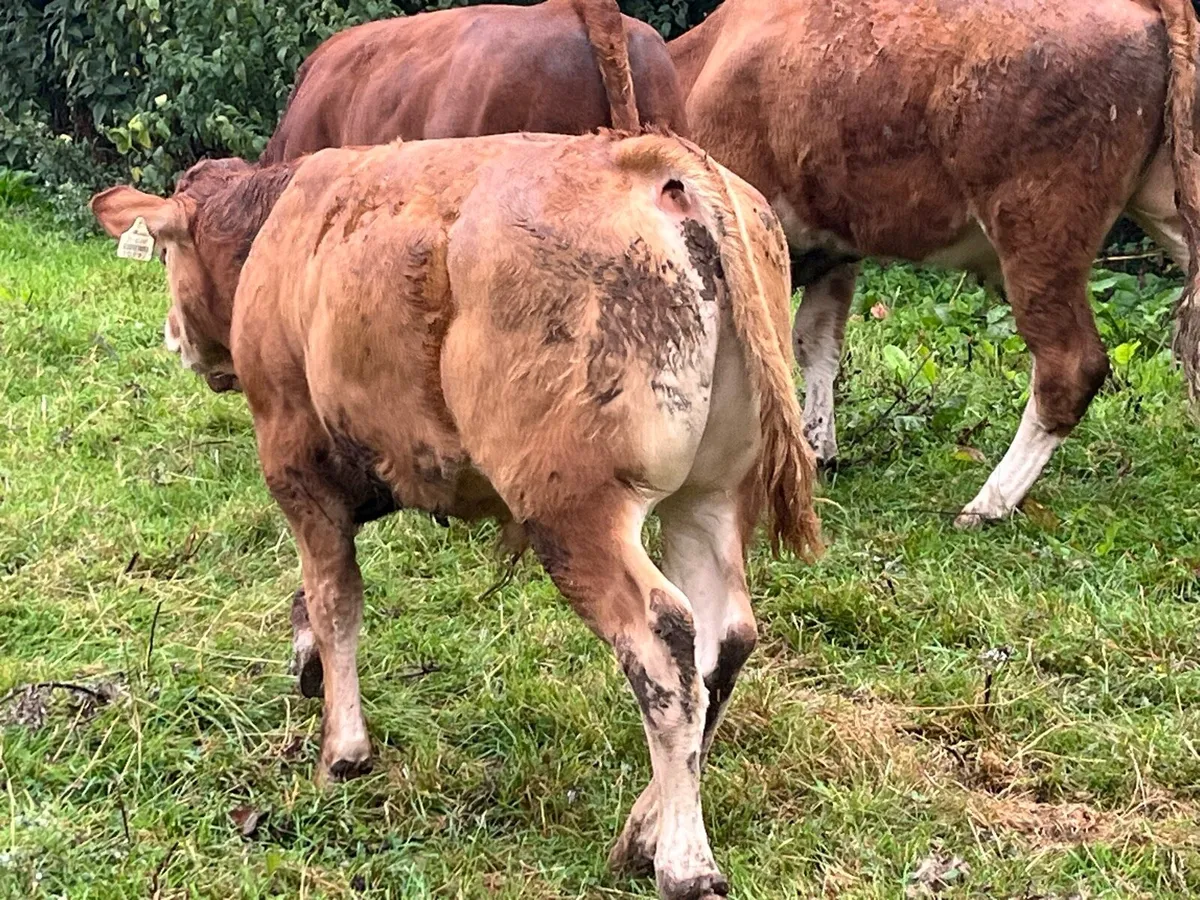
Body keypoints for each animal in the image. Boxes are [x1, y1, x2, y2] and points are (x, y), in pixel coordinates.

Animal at [90, 130, 822, 899]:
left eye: (168, 255)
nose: (173, 336)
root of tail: (655, 164)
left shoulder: (294, 457)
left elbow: (333, 595)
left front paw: (342, 749)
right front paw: (308, 664)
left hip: (575, 509)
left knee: (665, 645)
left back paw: (683, 861)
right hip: (708, 497)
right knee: (724, 639)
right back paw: (642, 829)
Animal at [669, 0, 1200, 527]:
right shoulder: (836, 245)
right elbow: (815, 343)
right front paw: (817, 448)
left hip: (1039, 221)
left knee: (1070, 365)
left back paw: (988, 504)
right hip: (1165, 203)